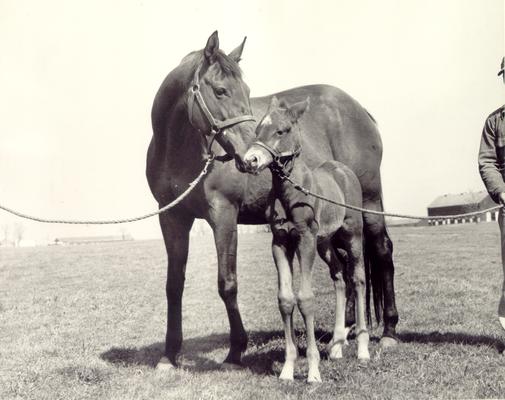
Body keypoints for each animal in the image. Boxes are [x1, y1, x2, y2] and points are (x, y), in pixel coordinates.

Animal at [146, 31, 398, 368]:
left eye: (248, 91)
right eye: (221, 90)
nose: (249, 155)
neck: (178, 148)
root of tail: (361, 111)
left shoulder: (223, 214)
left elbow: (227, 282)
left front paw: (236, 350)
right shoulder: (171, 217)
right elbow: (174, 285)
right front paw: (169, 355)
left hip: (369, 203)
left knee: (382, 252)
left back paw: (389, 331)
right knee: (344, 268)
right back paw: (342, 335)